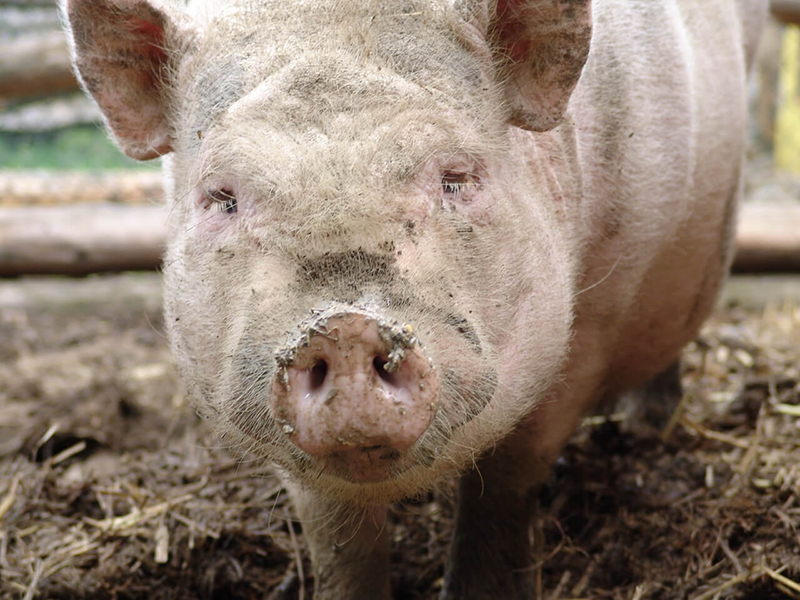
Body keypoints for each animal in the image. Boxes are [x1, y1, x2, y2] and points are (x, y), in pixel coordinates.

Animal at [61, 1, 764, 596]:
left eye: (457, 177)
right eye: (222, 198)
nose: (344, 328)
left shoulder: (588, 328)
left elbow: (505, 489)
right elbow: (338, 541)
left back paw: (643, 427)